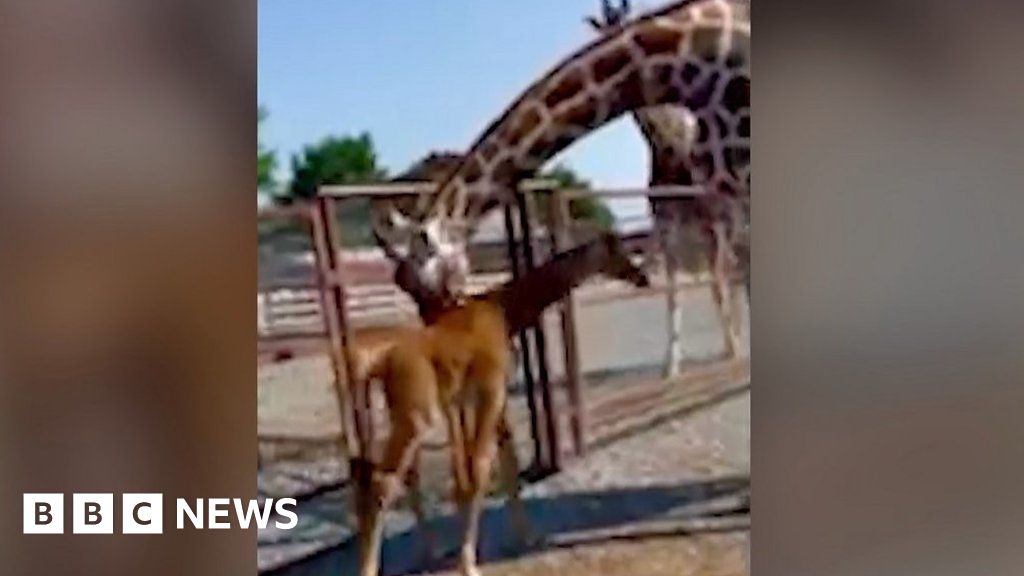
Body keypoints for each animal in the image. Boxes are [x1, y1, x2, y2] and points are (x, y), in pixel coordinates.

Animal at [358, 230, 647, 573]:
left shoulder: (481, 397)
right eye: (617, 251)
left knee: (399, 476)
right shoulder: (491, 389)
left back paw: (427, 554)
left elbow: (504, 461)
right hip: (418, 416)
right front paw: (469, 563)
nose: (642, 277)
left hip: (405, 413)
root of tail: (383, 363)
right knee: (383, 481)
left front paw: (525, 538)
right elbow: (481, 467)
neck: (505, 310)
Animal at [589, 0, 749, 373]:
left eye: (627, 25)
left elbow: (717, 284)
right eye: (600, 33)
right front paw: (671, 364)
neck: (666, 148)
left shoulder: (709, 222)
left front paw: (733, 349)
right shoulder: (667, 225)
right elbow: (673, 292)